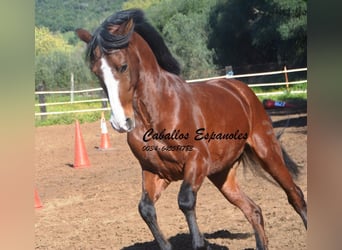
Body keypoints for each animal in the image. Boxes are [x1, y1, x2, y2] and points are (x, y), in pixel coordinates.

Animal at [77, 8, 308, 250]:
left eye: (122, 66)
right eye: (96, 72)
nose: (120, 122)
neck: (157, 111)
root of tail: (241, 90)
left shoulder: (196, 162)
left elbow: (186, 201)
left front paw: (200, 243)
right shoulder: (155, 172)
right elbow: (146, 209)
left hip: (267, 152)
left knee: (295, 195)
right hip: (223, 175)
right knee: (253, 210)